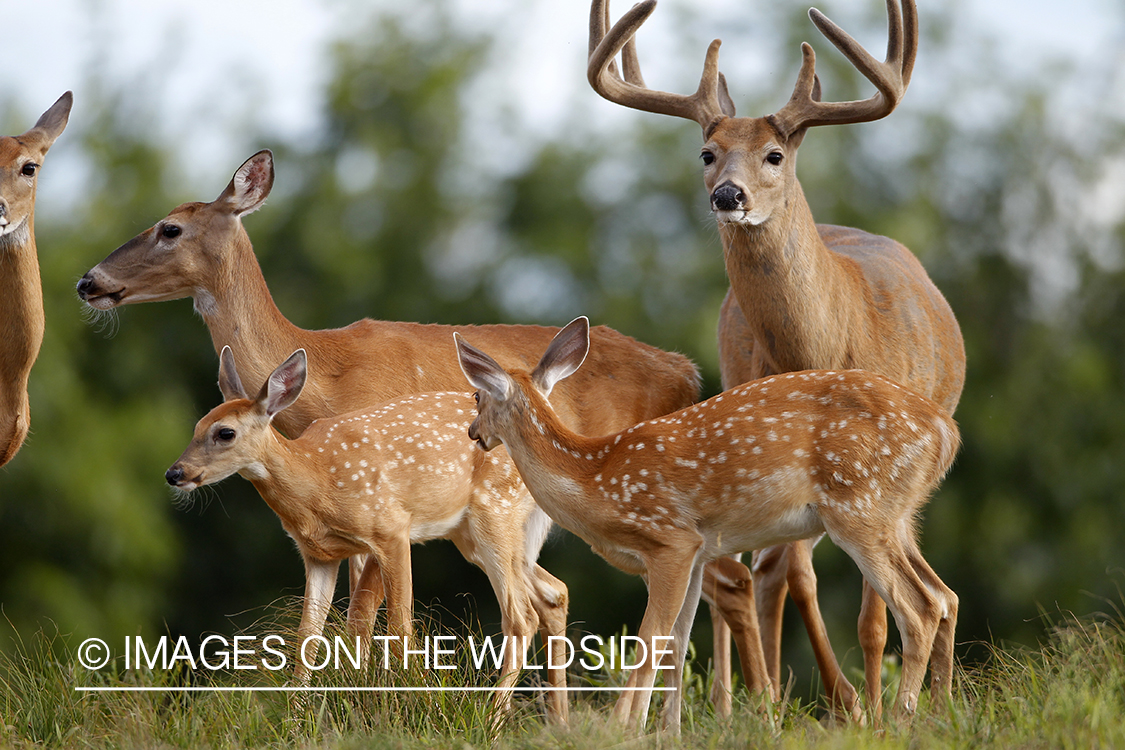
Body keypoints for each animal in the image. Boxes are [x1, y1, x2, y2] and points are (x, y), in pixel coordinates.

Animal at [167, 348, 567, 719]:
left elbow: (398, 626)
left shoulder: (391, 528)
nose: (175, 473)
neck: (317, 481)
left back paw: (493, 720)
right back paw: (553, 719)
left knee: (520, 617)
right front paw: (295, 721)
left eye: (225, 433)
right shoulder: (318, 555)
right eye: (196, 426)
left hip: (493, 513)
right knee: (553, 591)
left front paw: (410, 709)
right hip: (472, 534)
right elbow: (308, 636)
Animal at [454, 317, 958, 733]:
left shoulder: (670, 540)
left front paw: (623, 728)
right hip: (897, 517)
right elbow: (677, 644)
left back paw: (901, 722)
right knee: (944, 596)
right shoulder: (697, 553)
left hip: (859, 509)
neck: (596, 479)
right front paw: (665, 733)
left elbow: (650, 638)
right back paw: (938, 716)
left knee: (919, 607)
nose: (473, 433)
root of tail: (946, 432)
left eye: (477, 395)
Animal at [589, 0, 967, 719]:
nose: (727, 195)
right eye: (707, 153)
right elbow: (781, 571)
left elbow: (869, 614)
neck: (829, 341)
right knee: (773, 571)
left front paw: (875, 704)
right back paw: (761, 697)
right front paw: (818, 699)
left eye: (773, 154)